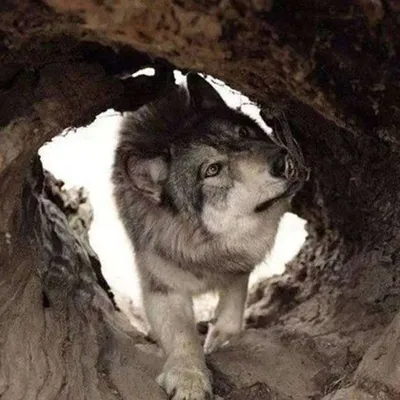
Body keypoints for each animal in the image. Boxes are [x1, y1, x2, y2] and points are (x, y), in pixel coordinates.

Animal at [112, 72, 300, 400]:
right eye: (212, 170)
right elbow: (182, 336)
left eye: (243, 132)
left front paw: (222, 338)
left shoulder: (239, 263)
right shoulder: (163, 287)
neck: (205, 247)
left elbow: (234, 302)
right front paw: (189, 377)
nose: (281, 158)